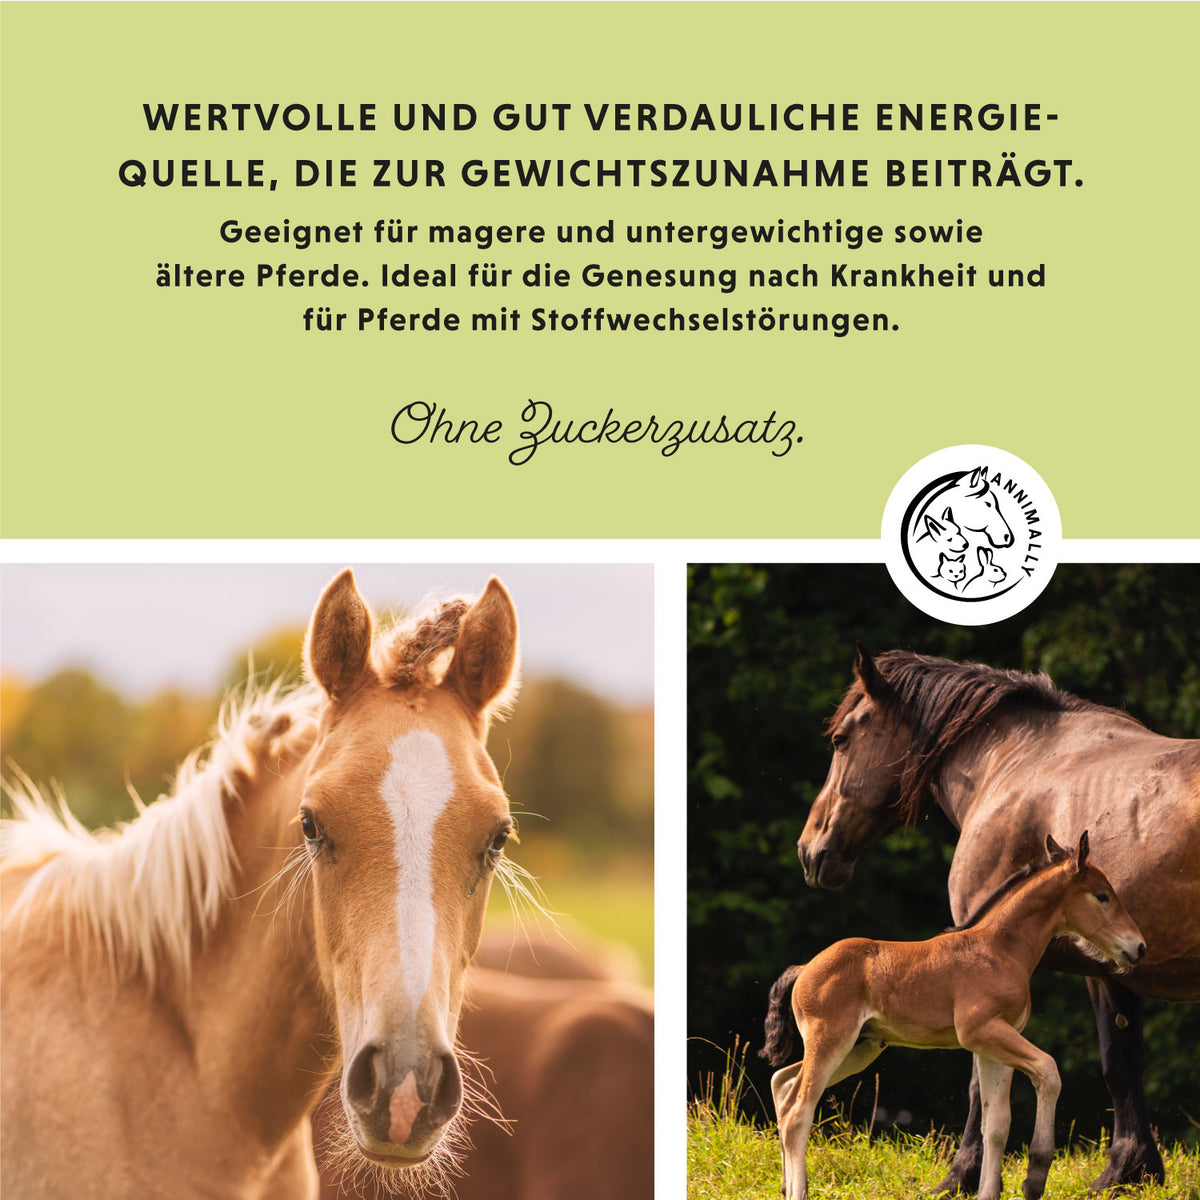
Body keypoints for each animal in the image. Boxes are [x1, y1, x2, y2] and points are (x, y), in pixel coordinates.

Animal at [762, 833, 1145, 1200]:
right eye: (1102, 896)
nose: (1139, 947)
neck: (1000, 950)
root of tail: (804, 968)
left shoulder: (994, 1045)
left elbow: (996, 1124)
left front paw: (989, 1193)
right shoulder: (981, 1031)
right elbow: (1048, 1071)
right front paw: (1035, 1178)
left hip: (860, 1047)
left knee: (782, 1083)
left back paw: (784, 1184)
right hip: (832, 1040)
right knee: (798, 1109)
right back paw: (798, 1191)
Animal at [798, 648, 1200, 1193]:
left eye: (841, 740)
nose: (810, 850)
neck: (1015, 764)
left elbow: (981, 1087)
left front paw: (964, 1175)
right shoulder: (1108, 965)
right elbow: (1121, 1060)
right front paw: (1129, 1171)